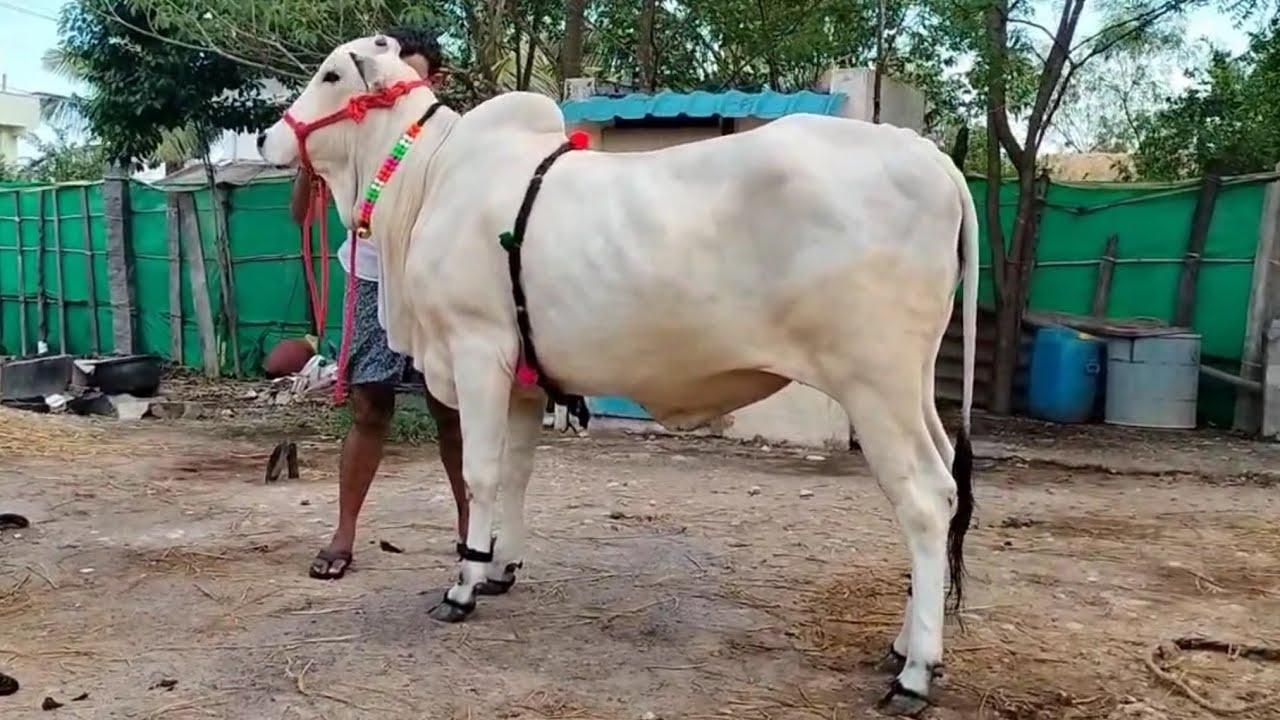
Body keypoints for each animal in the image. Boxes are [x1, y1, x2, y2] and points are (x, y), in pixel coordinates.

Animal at [258, 35, 978, 716]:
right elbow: (516, 473)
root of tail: (930, 156)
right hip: (911, 386)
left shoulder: (475, 349)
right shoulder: (521, 378)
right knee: (946, 485)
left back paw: (915, 674)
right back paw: (904, 645)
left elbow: (480, 473)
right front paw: (498, 568)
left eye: (331, 74)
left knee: (923, 500)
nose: (267, 138)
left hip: (874, 384)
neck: (428, 179)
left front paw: (462, 586)